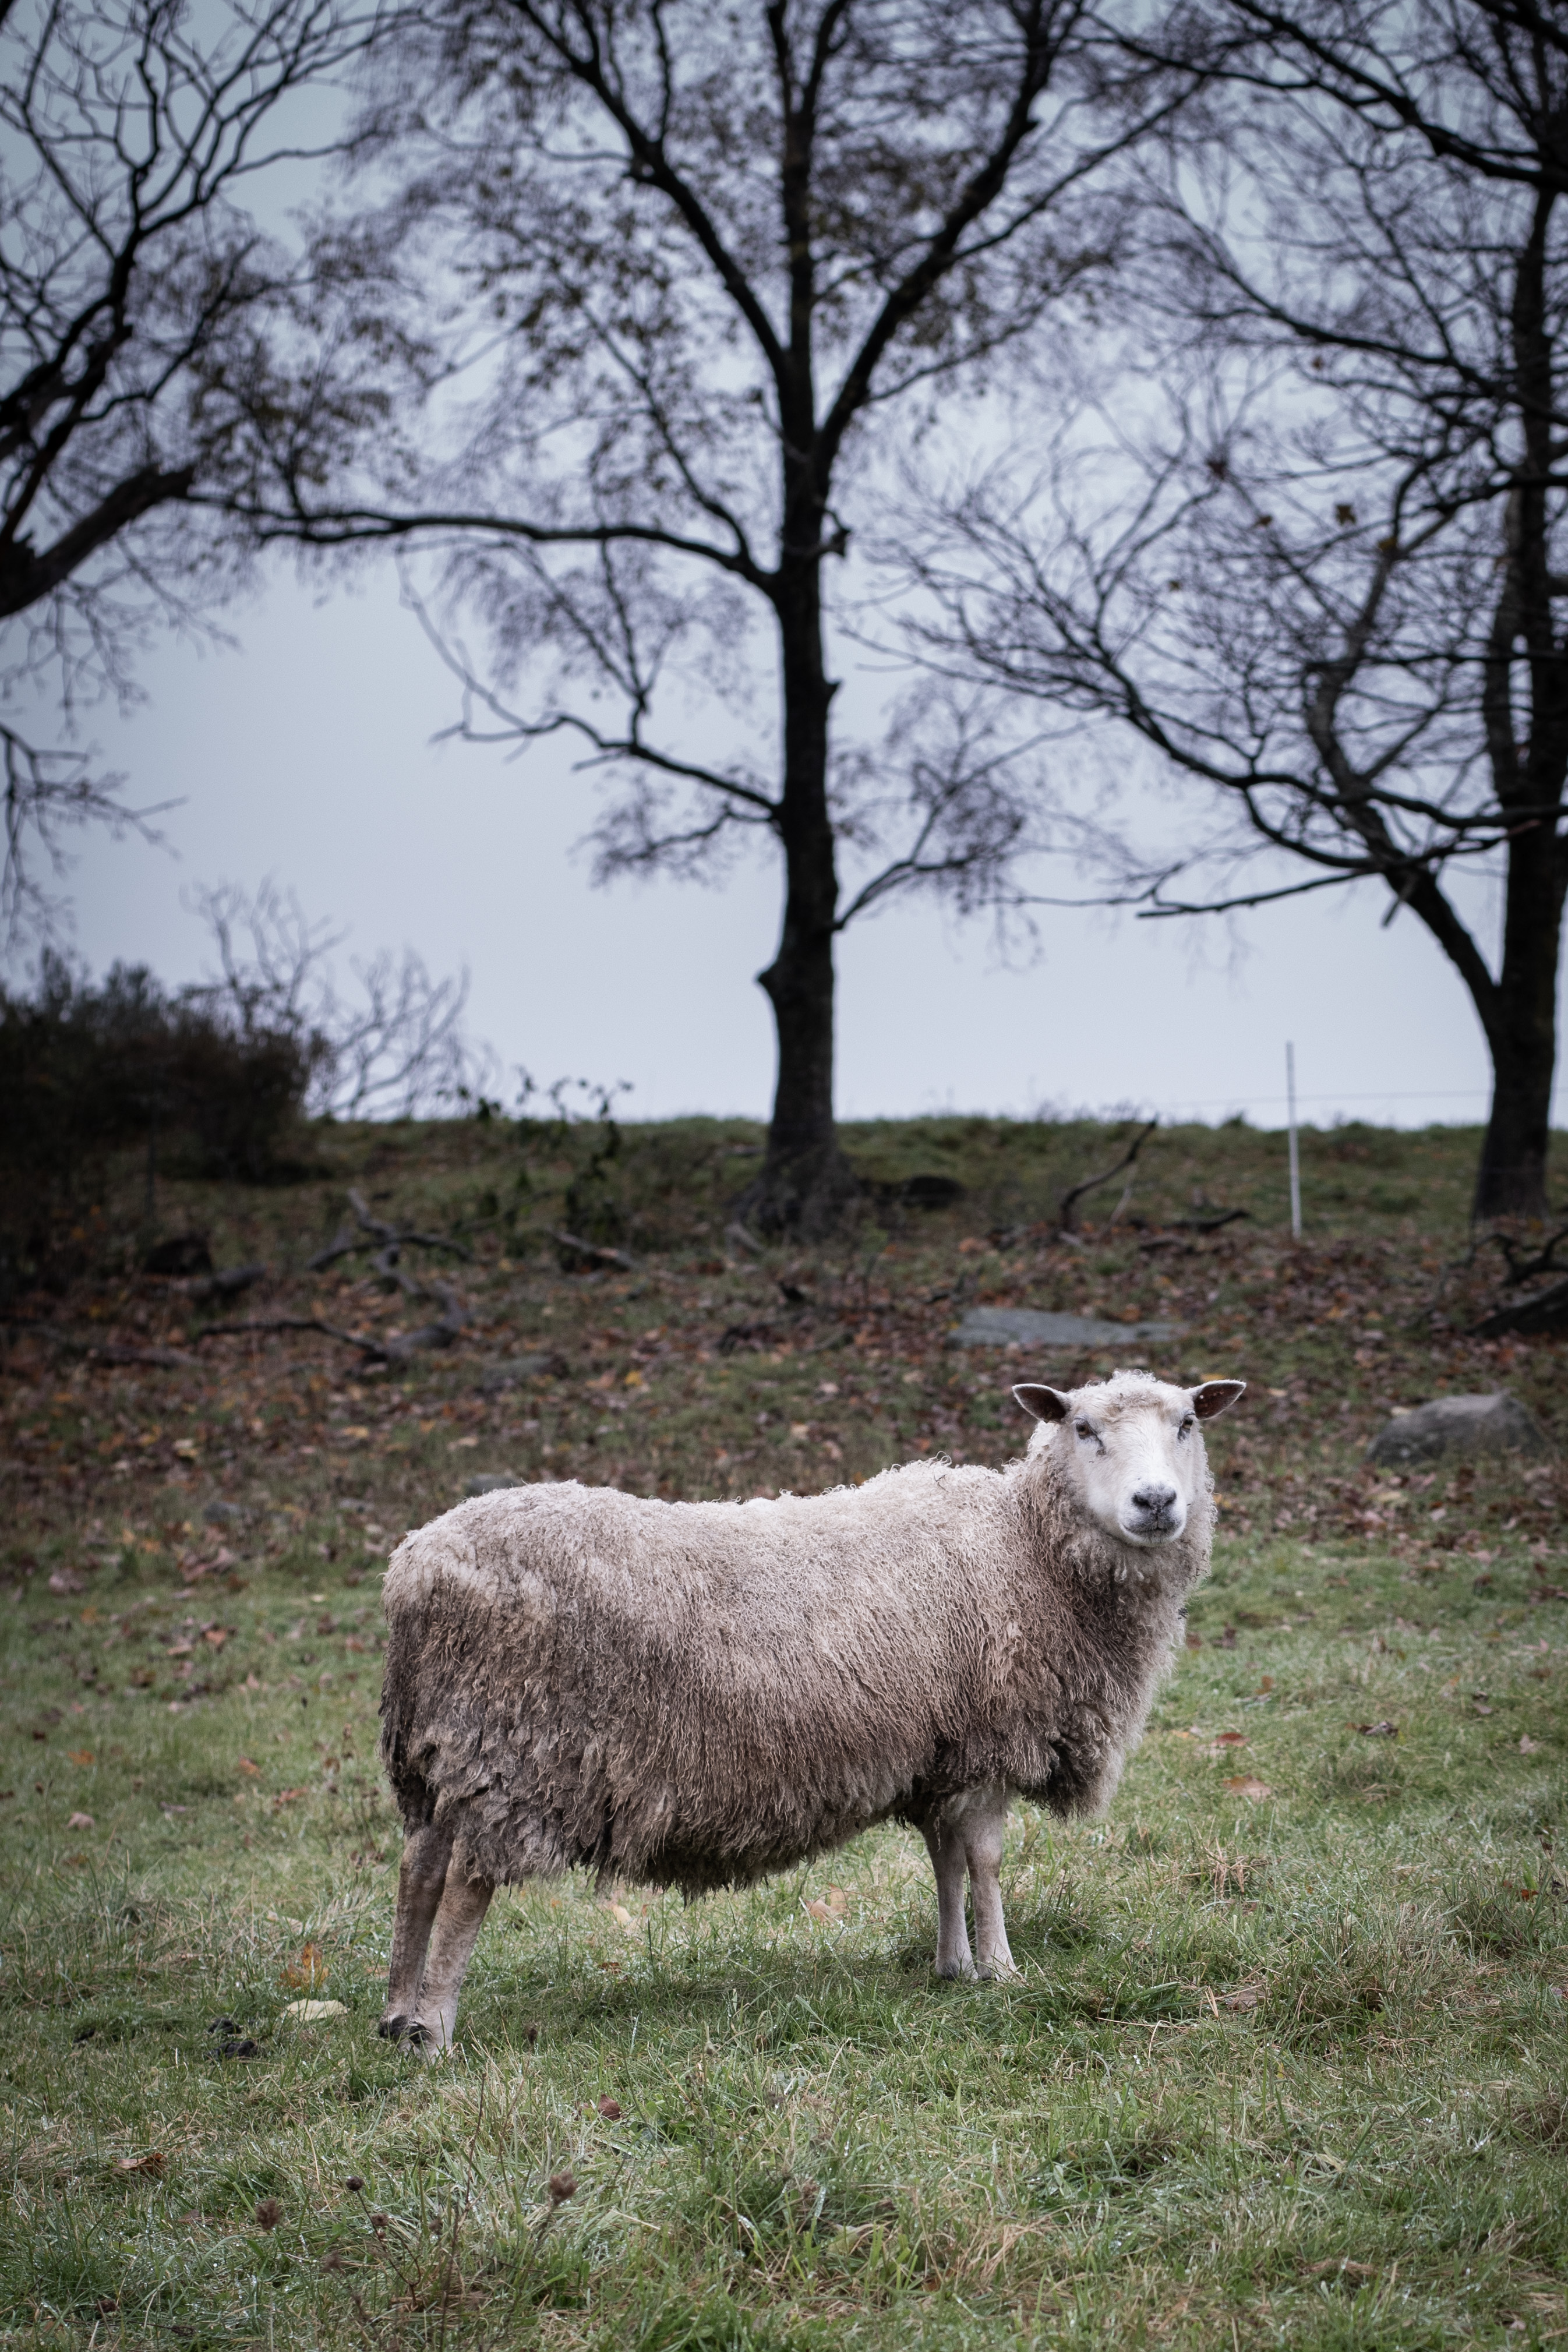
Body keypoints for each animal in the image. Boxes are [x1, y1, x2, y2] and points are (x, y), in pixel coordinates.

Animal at [376, 1367, 1244, 2051]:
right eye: (1084, 1428)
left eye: (1188, 1423)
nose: (1157, 1501)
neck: (1024, 1547)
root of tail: (416, 1566)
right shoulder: (989, 1738)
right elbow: (987, 1859)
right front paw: (1000, 1968)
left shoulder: (939, 1751)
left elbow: (945, 1859)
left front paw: (953, 1964)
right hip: (514, 1746)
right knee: (465, 1882)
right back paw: (435, 2029)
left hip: (441, 1745)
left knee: (418, 1866)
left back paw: (394, 2015)